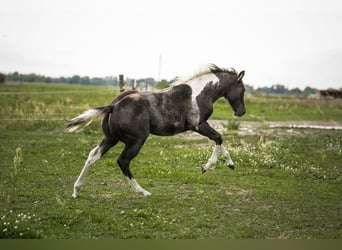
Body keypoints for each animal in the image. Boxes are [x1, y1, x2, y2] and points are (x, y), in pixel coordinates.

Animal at [67, 64, 244, 197]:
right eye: (241, 89)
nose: (241, 112)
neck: (199, 93)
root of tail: (113, 106)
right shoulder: (198, 125)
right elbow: (218, 137)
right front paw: (208, 167)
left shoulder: (201, 125)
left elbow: (218, 139)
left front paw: (229, 163)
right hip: (137, 140)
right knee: (123, 161)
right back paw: (142, 191)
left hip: (111, 139)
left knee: (93, 155)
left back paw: (76, 190)